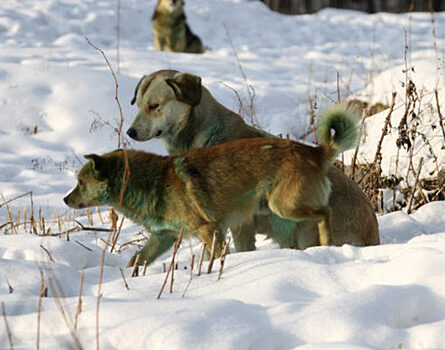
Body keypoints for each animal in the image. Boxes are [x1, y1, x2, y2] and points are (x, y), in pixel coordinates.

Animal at [64, 108, 358, 264]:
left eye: (80, 183)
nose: (65, 200)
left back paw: (328, 243)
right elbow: (137, 260)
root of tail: (314, 152)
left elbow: (212, 258)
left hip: (285, 206)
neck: (151, 181)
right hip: (281, 215)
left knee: (325, 213)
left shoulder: (210, 230)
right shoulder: (164, 236)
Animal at [126, 69, 380, 262]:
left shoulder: (240, 224)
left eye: (154, 105)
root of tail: (372, 233)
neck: (204, 135)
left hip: (300, 227)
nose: (130, 132)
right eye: (138, 105)